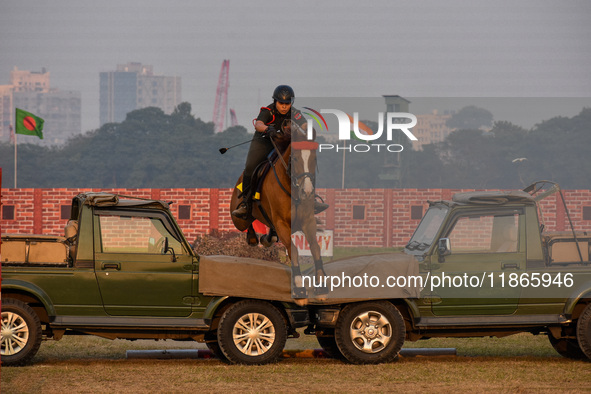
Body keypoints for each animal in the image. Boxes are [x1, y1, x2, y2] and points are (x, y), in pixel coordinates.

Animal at [230, 124, 328, 300]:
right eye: (294, 158)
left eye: (314, 159)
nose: (307, 191)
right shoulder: (282, 223)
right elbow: (293, 250)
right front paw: (299, 286)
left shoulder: (307, 221)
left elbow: (315, 248)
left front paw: (321, 286)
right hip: (238, 219)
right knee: (246, 221)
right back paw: (252, 233)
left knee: (270, 233)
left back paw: (267, 238)